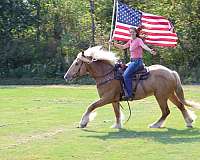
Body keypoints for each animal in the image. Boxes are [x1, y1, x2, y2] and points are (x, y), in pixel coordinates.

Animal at [64, 46, 200, 129]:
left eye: (77, 63)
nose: (66, 76)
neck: (108, 75)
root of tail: (171, 72)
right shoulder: (114, 100)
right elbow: (117, 113)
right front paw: (117, 125)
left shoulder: (106, 98)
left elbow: (91, 106)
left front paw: (83, 122)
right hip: (169, 94)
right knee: (180, 106)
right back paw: (189, 122)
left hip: (161, 96)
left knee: (166, 111)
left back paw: (155, 125)